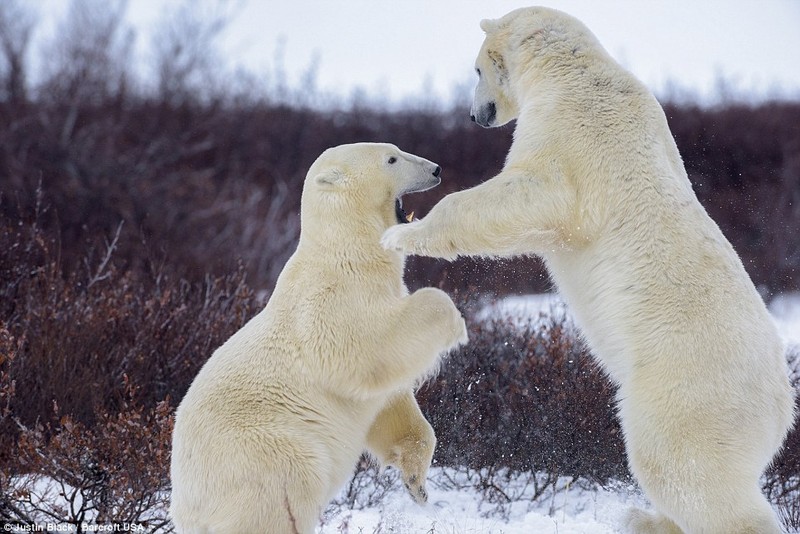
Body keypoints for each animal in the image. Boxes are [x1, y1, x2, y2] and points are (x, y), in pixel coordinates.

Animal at [170, 143, 468, 534]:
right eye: (391, 159)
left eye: (397, 150)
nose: (436, 169)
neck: (348, 253)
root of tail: (186, 508)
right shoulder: (331, 303)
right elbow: (366, 351)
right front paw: (458, 327)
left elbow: (389, 399)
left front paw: (416, 483)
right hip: (265, 453)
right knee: (284, 495)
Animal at [384, 7, 796, 534]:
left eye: (476, 70)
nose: (475, 115)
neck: (572, 71)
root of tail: (782, 406)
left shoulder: (571, 130)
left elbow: (528, 193)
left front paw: (403, 234)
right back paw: (643, 517)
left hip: (689, 394)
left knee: (684, 471)